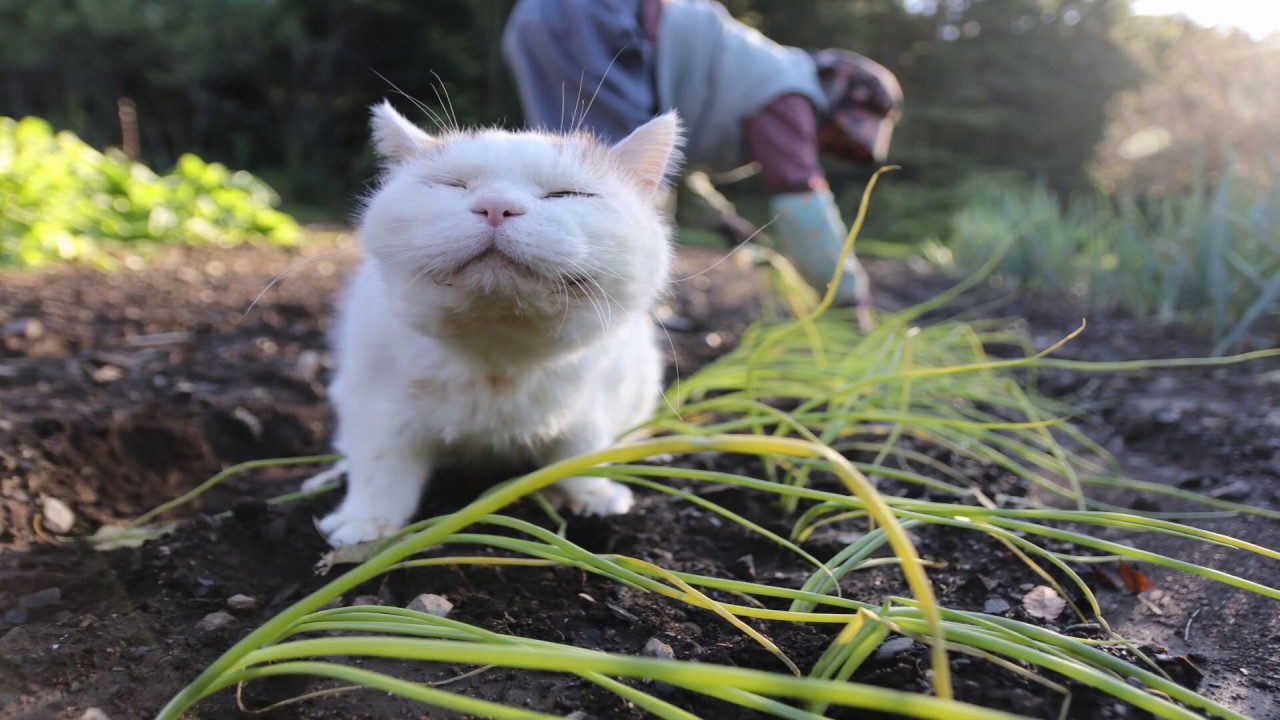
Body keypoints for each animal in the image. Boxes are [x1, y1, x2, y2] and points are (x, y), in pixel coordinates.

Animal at [313, 102, 686, 543]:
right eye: (452, 184)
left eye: (566, 194)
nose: (495, 206)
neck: (498, 352)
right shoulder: (374, 402)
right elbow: (381, 464)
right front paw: (366, 523)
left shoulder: (596, 400)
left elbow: (580, 450)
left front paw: (591, 495)